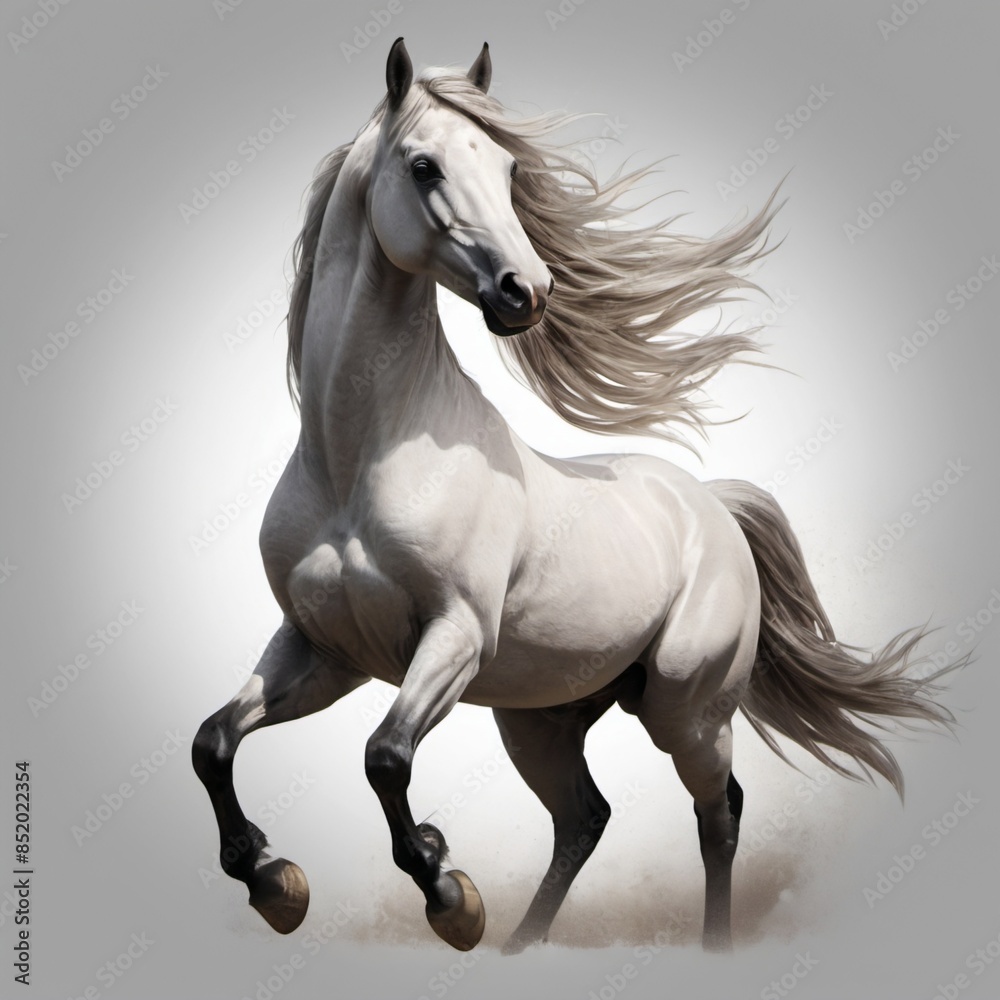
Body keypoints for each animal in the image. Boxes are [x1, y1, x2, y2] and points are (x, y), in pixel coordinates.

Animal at [192, 38, 955, 954]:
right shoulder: (324, 650)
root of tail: (711, 506)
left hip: (684, 710)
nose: (527, 291)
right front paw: (277, 883)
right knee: (585, 818)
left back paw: (706, 946)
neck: (358, 459)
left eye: (509, 166)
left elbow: (384, 757)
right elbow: (213, 743)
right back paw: (520, 945)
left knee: (720, 812)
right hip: (539, 718)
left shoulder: (453, 639)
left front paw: (447, 892)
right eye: (423, 166)